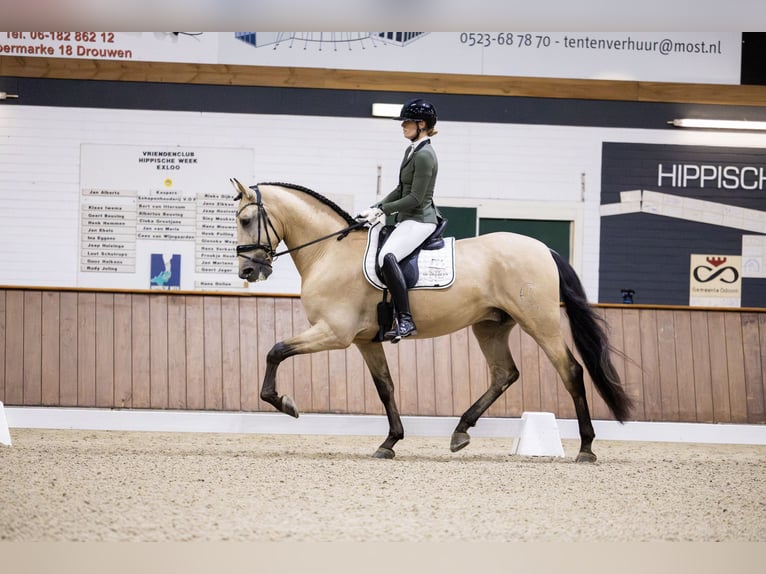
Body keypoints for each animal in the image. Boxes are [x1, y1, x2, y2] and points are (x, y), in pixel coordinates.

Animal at [231, 178, 633, 462]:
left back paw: (586, 448)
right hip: (490, 326)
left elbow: (275, 350)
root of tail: (543, 248)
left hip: (540, 321)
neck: (329, 251)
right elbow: (385, 387)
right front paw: (390, 442)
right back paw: (460, 431)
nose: (248, 271)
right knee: (504, 374)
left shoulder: (334, 333)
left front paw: (284, 403)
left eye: (246, 220)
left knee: (571, 371)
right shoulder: (364, 341)